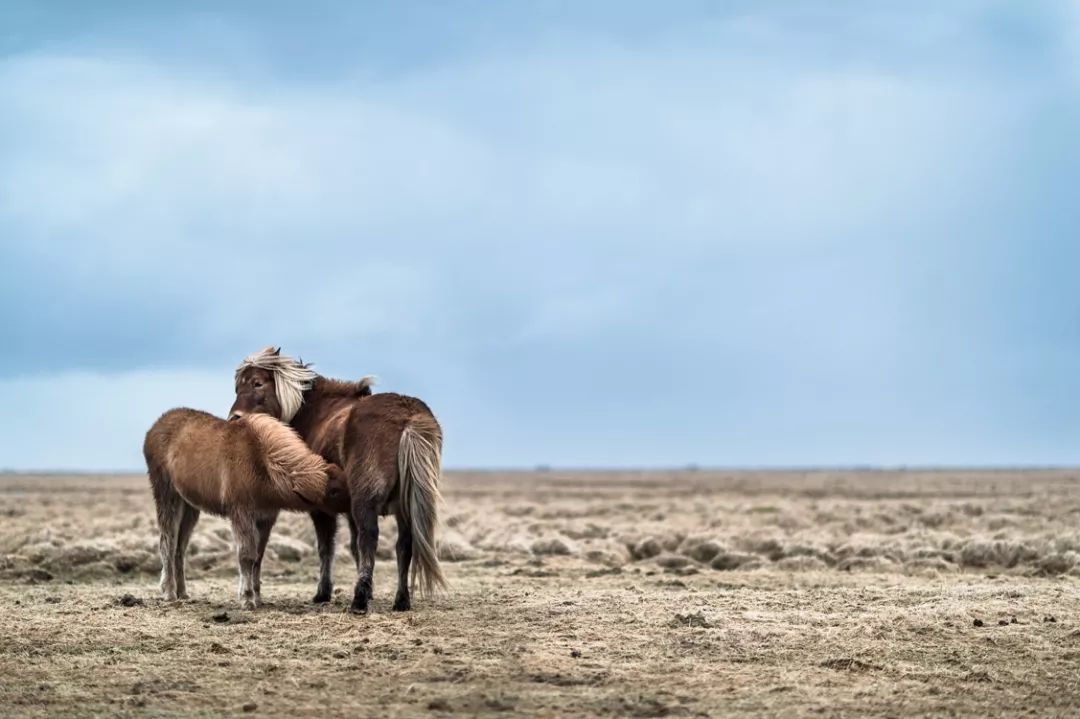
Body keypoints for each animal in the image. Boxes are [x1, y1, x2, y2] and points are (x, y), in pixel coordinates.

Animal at [142, 405, 345, 608]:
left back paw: (182, 593)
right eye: (334, 491)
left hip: (190, 507)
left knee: (180, 548)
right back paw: (169, 592)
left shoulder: (266, 518)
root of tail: (153, 429)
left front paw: (257, 596)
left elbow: (258, 557)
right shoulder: (241, 513)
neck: (262, 460)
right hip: (168, 496)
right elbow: (247, 555)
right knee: (167, 543)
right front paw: (247, 598)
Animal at [227, 345, 447, 608]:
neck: (315, 413)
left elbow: (326, 548)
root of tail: (408, 418)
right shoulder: (350, 509)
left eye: (257, 383)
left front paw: (324, 593)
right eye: (237, 387)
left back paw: (359, 600)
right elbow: (353, 548)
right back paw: (401, 600)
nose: (235, 419)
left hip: (367, 500)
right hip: (404, 505)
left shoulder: (321, 508)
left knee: (370, 537)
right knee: (403, 545)